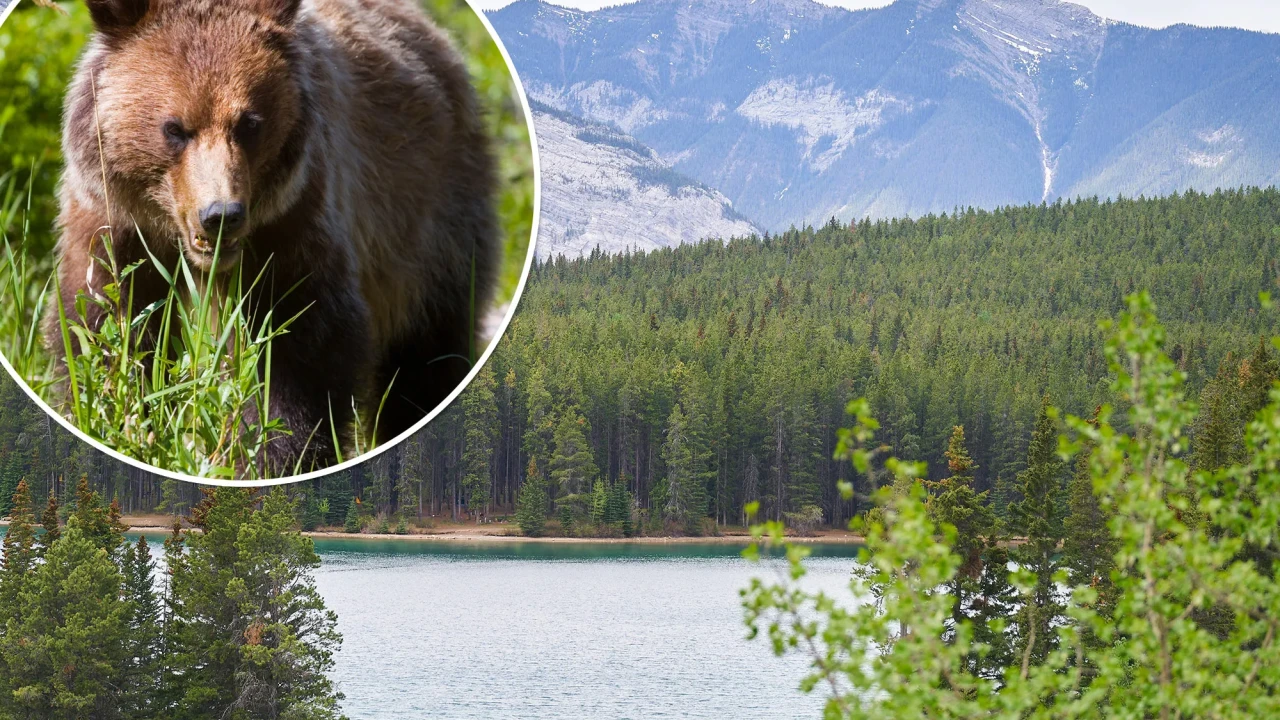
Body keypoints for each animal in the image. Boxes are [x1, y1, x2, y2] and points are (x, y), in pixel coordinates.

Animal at [49, 0, 499, 471]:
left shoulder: (294, 220)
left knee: (427, 349)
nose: (221, 214)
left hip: (427, 220)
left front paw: (274, 452)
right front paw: (122, 415)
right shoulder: (114, 222)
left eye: (249, 123)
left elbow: (298, 343)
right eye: (174, 128)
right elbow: (107, 322)